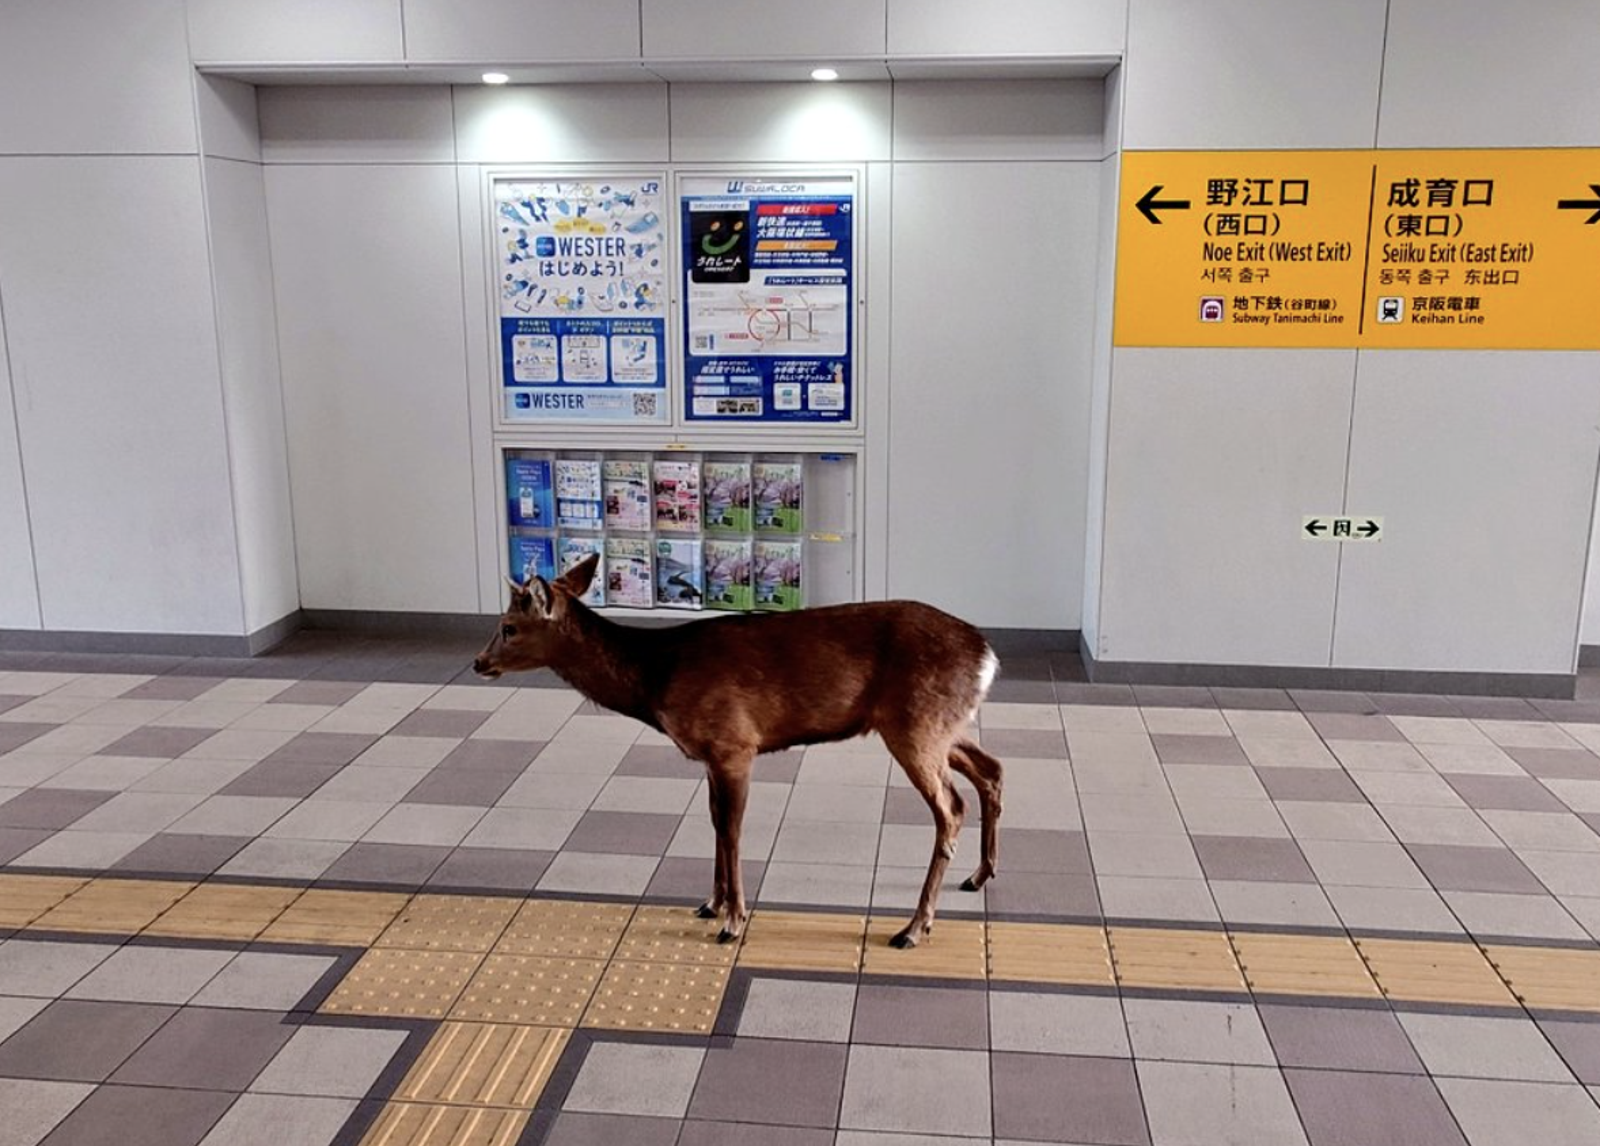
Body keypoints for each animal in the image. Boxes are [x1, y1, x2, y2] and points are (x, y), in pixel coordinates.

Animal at [473, 552, 1004, 948]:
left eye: (508, 626)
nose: (479, 662)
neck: (656, 678)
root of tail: (987, 656)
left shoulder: (734, 742)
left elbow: (731, 829)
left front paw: (733, 920)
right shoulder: (711, 754)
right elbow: (713, 822)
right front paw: (711, 903)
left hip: (916, 725)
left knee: (951, 807)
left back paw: (914, 927)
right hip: (940, 725)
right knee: (992, 770)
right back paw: (979, 876)